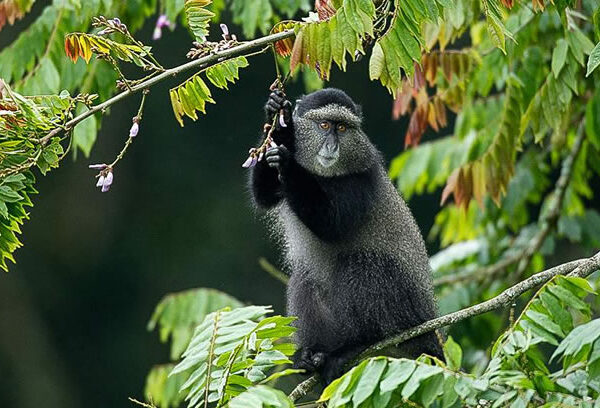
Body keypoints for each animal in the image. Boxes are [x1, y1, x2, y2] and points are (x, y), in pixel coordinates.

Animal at [249, 88, 443, 384]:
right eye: (324, 125)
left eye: (342, 128)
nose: (332, 146)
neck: (323, 175)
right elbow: (264, 195)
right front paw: (279, 119)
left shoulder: (361, 179)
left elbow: (332, 224)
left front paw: (288, 162)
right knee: (305, 276)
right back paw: (311, 355)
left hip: (400, 309)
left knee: (362, 262)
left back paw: (356, 345)